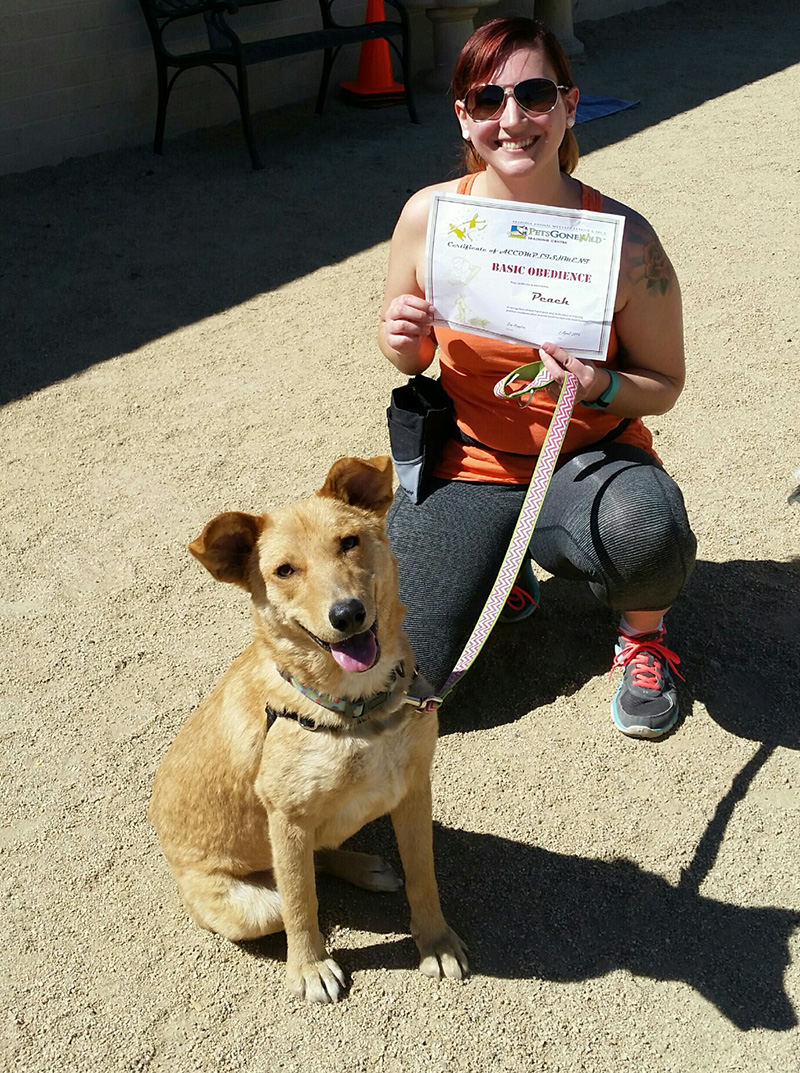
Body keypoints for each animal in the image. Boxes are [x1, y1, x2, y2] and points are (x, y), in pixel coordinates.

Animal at [147, 457, 467, 1000]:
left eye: (349, 542)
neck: (356, 712)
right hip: (250, 904)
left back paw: (362, 865)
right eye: (285, 571)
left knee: (320, 855)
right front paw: (309, 967)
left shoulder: (412, 790)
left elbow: (423, 877)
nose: (348, 614)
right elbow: (303, 904)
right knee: (292, 885)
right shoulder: (287, 818)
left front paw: (435, 940)